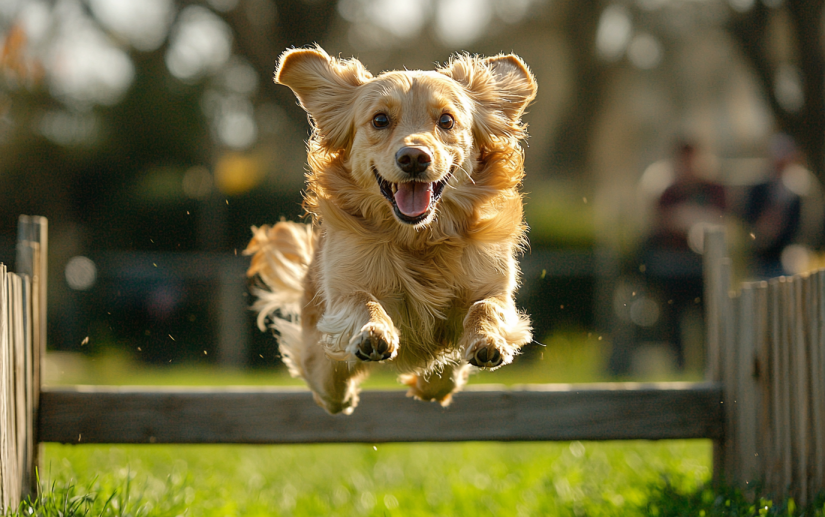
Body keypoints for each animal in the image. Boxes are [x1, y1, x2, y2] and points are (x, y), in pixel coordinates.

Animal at [245, 45, 536, 416]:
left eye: (446, 120)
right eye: (380, 120)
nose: (414, 157)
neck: (417, 237)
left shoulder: (492, 284)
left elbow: (486, 307)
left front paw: (487, 339)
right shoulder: (345, 288)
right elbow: (364, 301)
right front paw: (374, 332)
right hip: (320, 359)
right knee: (330, 386)